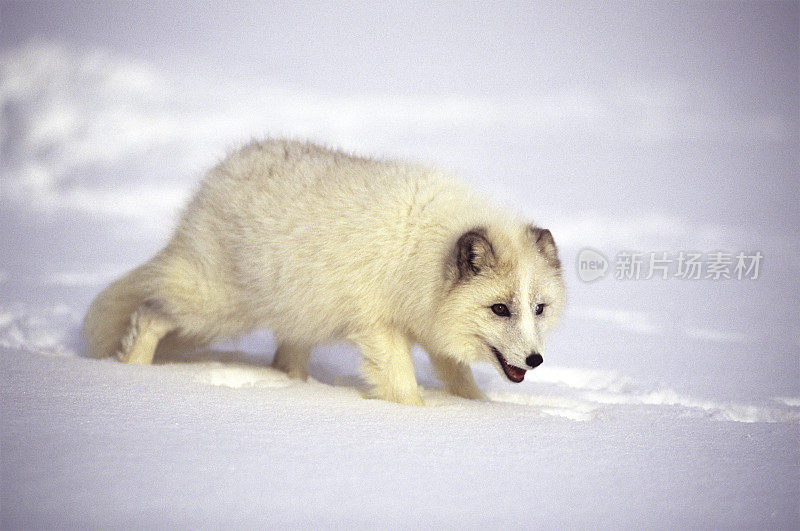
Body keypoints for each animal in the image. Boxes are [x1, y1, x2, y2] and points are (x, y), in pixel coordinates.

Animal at [84, 139, 564, 406]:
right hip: (216, 308)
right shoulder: (379, 326)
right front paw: (414, 416)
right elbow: (403, 388)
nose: (535, 360)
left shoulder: (429, 325)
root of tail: (220, 172)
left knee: (284, 358)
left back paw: (296, 388)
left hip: (294, 312)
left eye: (538, 308)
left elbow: (462, 382)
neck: (422, 250)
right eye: (500, 308)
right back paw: (132, 370)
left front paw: (481, 409)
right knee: (149, 311)